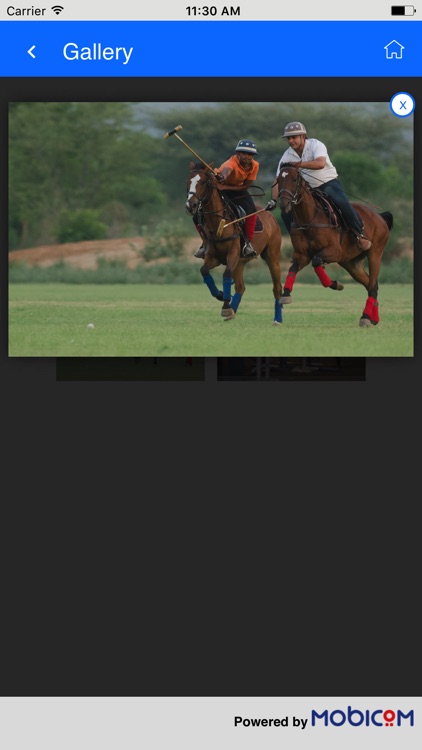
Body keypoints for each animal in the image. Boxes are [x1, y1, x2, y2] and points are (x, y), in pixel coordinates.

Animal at [185, 162, 282, 324]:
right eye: (188, 181)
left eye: (203, 182)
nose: (190, 205)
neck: (218, 223)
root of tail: (271, 216)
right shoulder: (213, 257)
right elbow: (204, 271)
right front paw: (220, 295)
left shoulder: (233, 254)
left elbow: (226, 274)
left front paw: (225, 306)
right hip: (240, 263)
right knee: (240, 287)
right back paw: (232, 311)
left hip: (272, 256)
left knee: (277, 287)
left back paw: (277, 318)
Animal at [276, 163, 392, 328]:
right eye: (279, 180)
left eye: (294, 179)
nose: (284, 203)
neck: (309, 218)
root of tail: (380, 217)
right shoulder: (302, 255)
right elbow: (293, 268)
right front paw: (286, 294)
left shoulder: (334, 251)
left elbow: (316, 261)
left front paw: (335, 284)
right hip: (351, 263)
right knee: (371, 284)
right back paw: (373, 318)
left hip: (375, 253)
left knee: (372, 285)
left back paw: (365, 317)